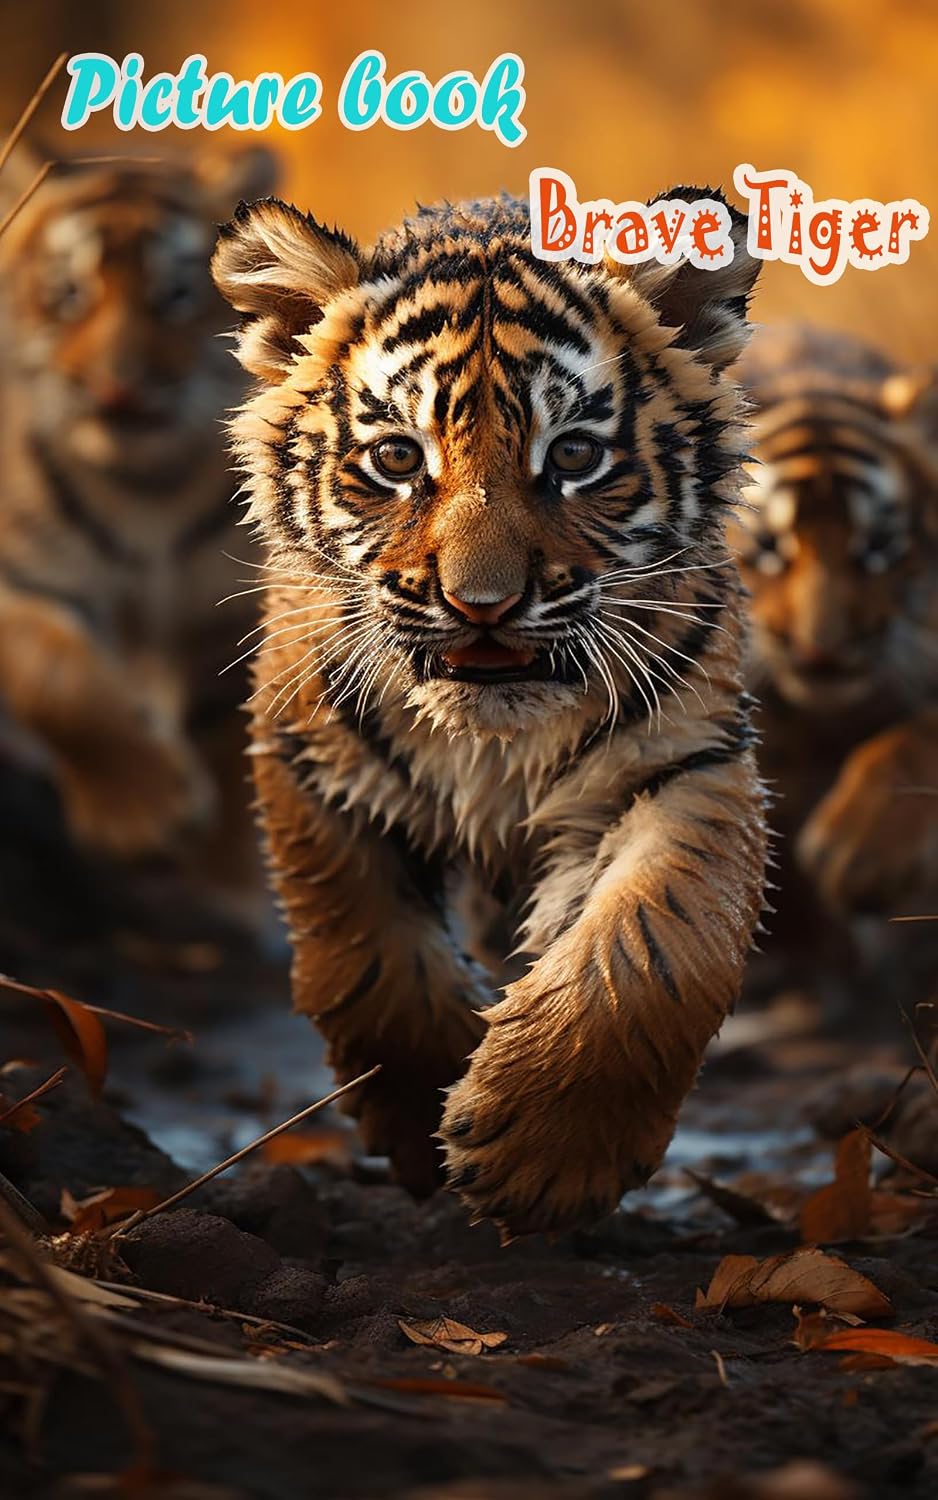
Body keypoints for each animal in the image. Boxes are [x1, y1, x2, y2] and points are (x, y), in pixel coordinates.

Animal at [0, 143, 277, 935]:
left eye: (174, 296)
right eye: (68, 294)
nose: (117, 387)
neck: (143, 488)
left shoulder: (230, 607)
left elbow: (229, 731)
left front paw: (228, 884)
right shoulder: (26, 577)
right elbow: (61, 681)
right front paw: (146, 812)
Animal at [211, 188, 768, 1238]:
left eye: (575, 456)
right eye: (398, 458)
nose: (483, 605)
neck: (491, 736)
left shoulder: (687, 761)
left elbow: (660, 945)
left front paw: (542, 1158)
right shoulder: (311, 759)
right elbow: (364, 946)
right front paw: (425, 1108)